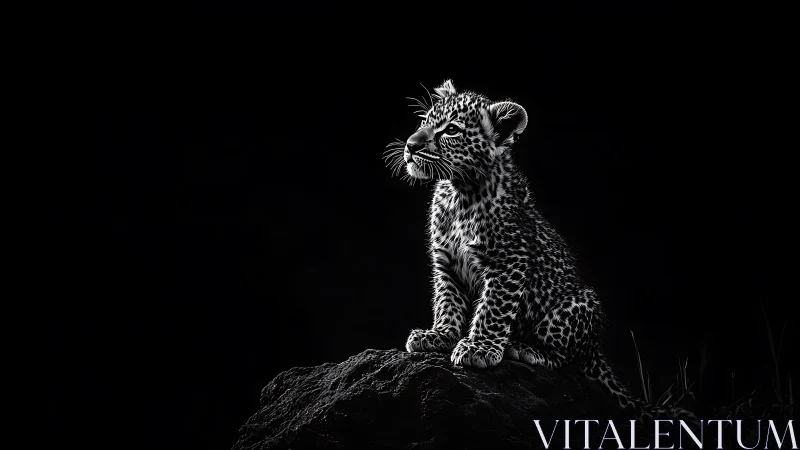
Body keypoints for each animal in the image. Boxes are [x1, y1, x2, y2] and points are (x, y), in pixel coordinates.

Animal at [384, 79, 695, 421]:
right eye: (424, 121)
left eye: (451, 130)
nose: (411, 145)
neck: (457, 191)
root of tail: (596, 348)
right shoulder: (447, 263)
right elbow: (447, 302)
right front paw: (439, 335)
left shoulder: (509, 262)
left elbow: (492, 309)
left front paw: (478, 348)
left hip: (577, 307)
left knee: (568, 359)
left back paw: (526, 349)